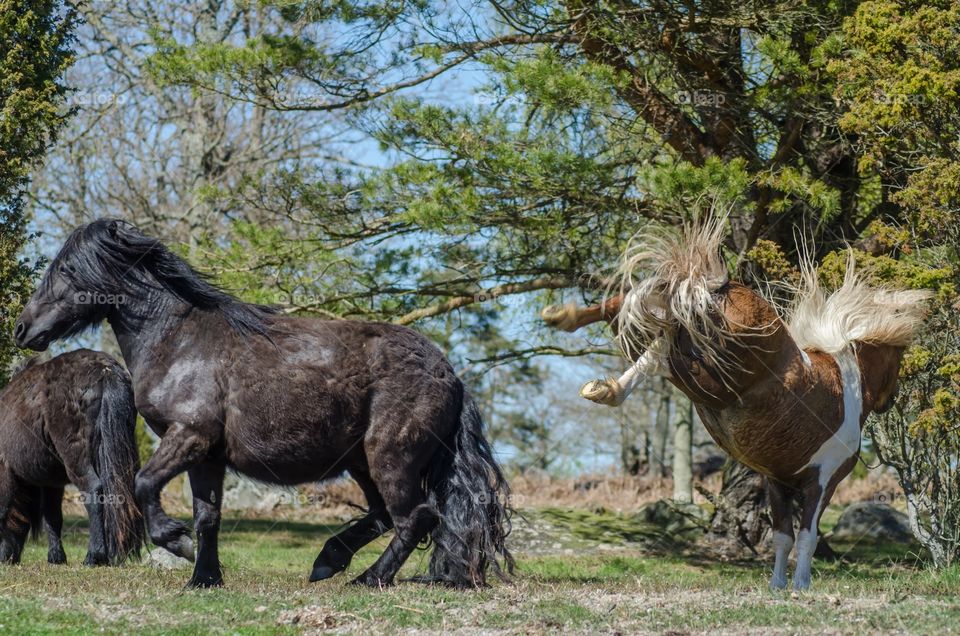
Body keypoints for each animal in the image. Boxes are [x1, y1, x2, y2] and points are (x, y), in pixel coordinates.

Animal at [0, 349, 143, 565]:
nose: (6, 558)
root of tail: (105, 370)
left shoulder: (6, 471)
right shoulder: (51, 483)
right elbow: (52, 518)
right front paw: (56, 557)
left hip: (76, 459)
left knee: (93, 491)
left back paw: (94, 556)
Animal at [541, 218, 929, 590]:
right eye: (898, 358)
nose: (889, 401)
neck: (845, 383)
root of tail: (718, 290)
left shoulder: (778, 482)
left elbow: (783, 536)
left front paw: (777, 586)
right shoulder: (823, 480)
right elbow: (807, 537)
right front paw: (801, 585)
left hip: (695, 355)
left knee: (642, 310)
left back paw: (567, 326)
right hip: (714, 369)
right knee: (660, 341)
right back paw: (598, 371)